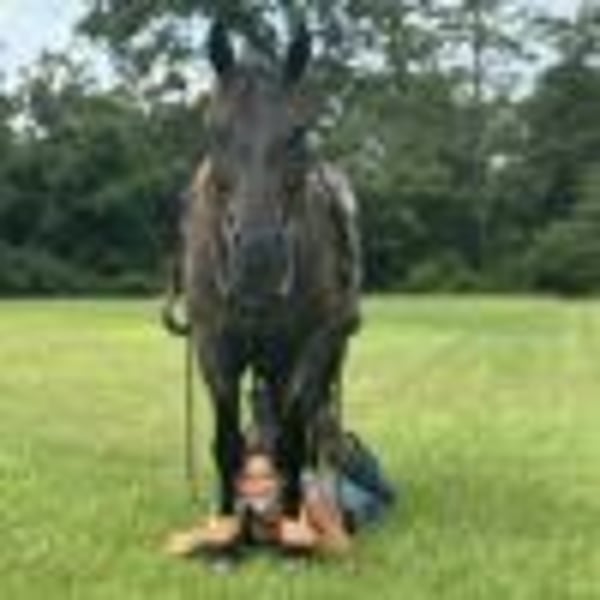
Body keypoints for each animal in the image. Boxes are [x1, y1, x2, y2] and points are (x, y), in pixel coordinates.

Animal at [181, 20, 361, 549]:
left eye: (298, 133)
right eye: (215, 130)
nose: (258, 260)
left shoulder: (311, 345)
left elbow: (293, 441)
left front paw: (292, 524)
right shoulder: (214, 345)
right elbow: (227, 442)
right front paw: (225, 525)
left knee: (306, 429)